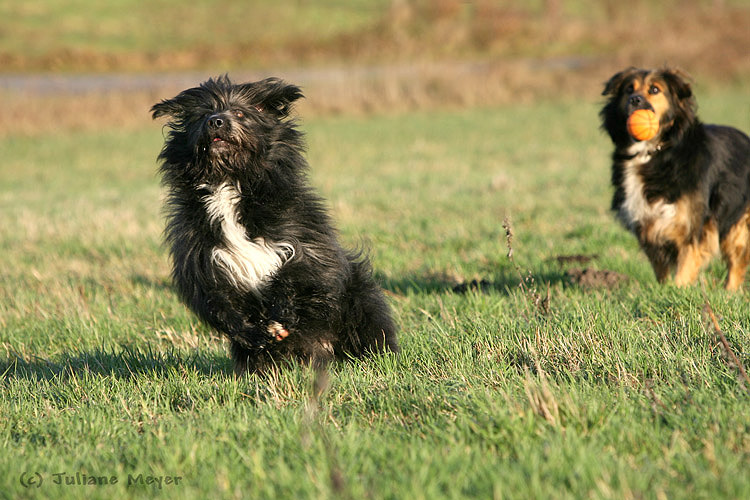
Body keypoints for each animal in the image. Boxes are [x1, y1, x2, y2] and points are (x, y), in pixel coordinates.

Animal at [151, 76, 400, 374]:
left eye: (239, 113)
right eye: (201, 115)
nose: (216, 121)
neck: (228, 181)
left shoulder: (307, 244)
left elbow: (297, 274)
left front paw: (281, 314)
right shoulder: (201, 259)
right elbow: (218, 302)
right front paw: (254, 331)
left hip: (360, 303)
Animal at [604, 68, 750, 292]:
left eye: (654, 89)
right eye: (629, 89)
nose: (634, 99)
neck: (652, 152)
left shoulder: (694, 224)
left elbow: (686, 264)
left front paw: (678, 291)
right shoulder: (648, 224)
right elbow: (660, 268)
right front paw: (663, 290)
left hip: (738, 221)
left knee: (737, 261)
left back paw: (729, 293)